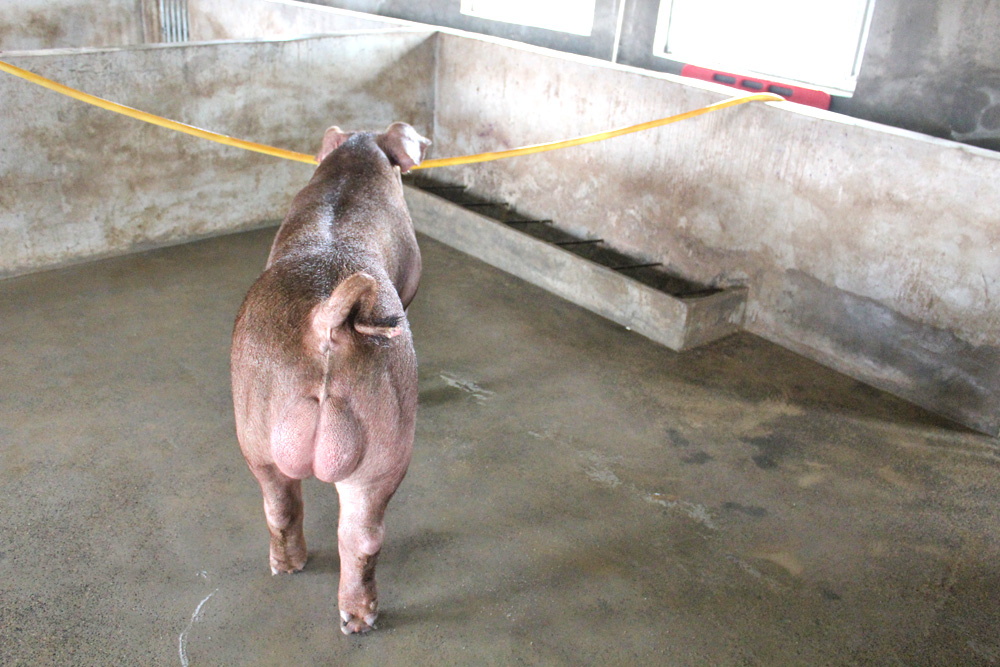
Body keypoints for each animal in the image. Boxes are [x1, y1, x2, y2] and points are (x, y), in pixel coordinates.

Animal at [231, 122, 430, 634]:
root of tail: (324, 320)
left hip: (257, 425)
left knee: (285, 506)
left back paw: (296, 574)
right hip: (386, 440)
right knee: (363, 536)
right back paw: (360, 619)